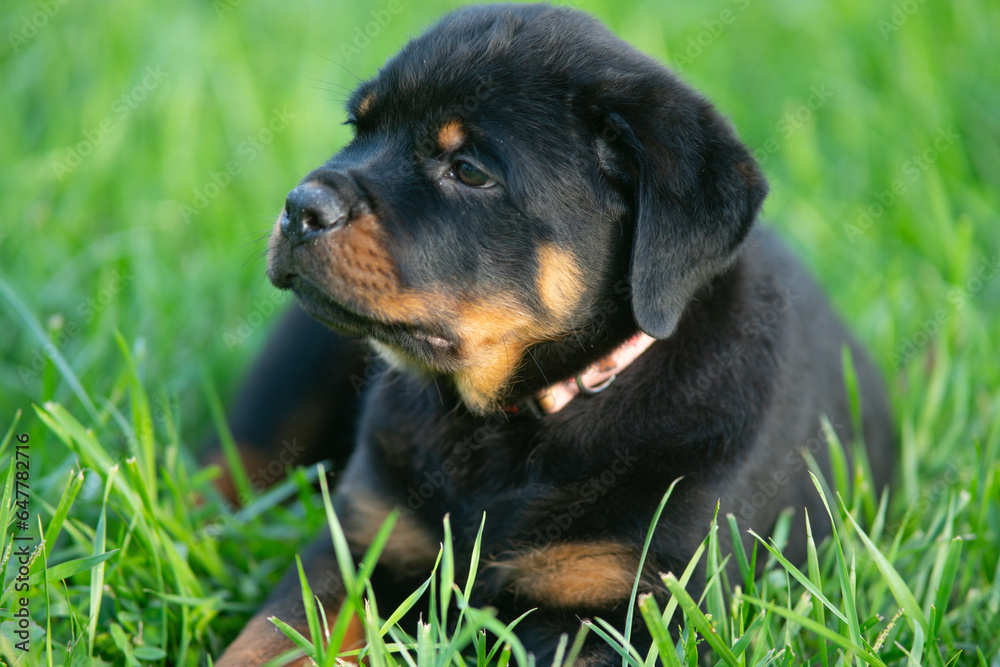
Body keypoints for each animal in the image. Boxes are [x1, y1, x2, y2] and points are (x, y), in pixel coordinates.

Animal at [215, 3, 896, 664]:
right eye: (357, 130)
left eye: (469, 170)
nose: (300, 207)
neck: (509, 423)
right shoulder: (358, 540)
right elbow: (270, 640)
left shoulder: (634, 603)